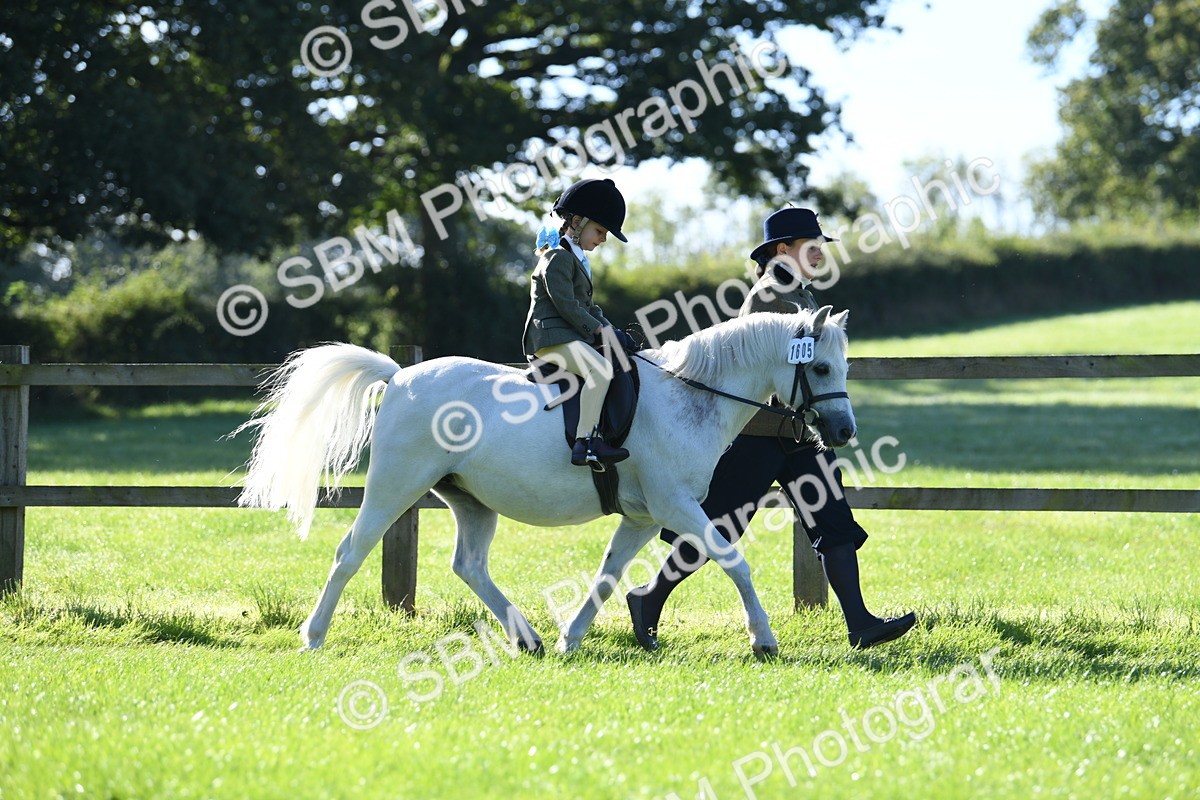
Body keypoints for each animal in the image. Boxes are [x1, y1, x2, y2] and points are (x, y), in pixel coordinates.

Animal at [234, 305, 855, 656]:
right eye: (821, 367)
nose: (844, 430)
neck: (690, 394)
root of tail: (401, 375)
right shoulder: (676, 506)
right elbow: (734, 562)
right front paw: (763, 639)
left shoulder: (641, 516)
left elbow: (607, 576)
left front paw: (570, 639)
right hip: (395, 486)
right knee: (351, 551)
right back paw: (313, 637)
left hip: (470, 500)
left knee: (469, 565)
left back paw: (527, 637)